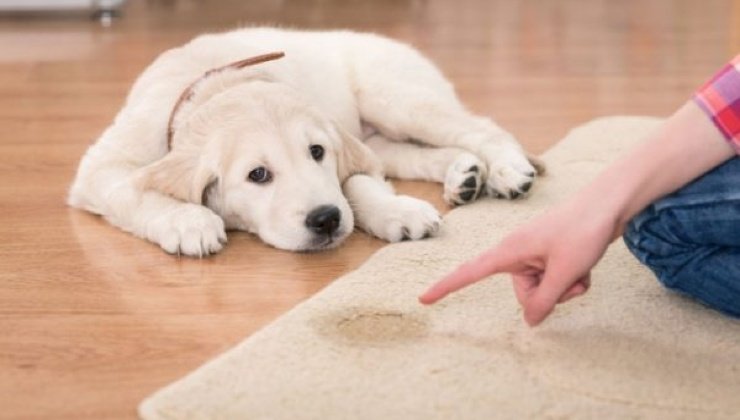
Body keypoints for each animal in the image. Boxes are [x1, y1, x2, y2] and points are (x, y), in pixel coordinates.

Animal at [68, 27, 544, 256]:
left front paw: (396, 211)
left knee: (482, 128)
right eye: (258, 175)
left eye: (317, 153)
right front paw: (189, 222)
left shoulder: (345, 148)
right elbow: (134, 190)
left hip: (396, 98)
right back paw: (464, 175)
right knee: (416, 154)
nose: (326, 220)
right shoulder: (102, 166)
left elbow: (356, 184)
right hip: (382, 136)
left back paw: (507, 170)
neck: (217, 83)